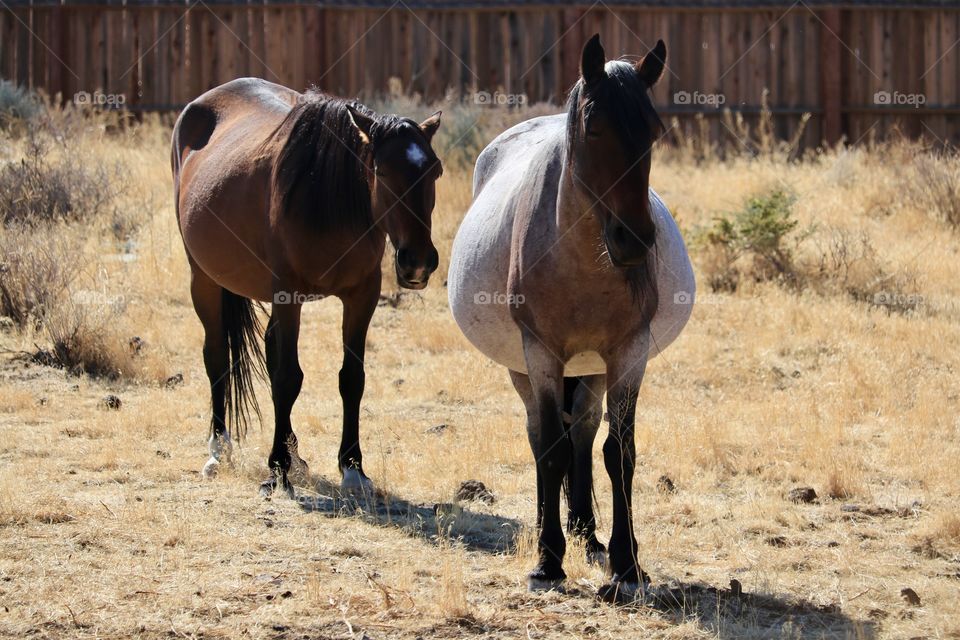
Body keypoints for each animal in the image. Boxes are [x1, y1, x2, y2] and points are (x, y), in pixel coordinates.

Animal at [172, 79, 442, 496]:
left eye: (435, 172)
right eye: (381, 171)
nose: (418, 262)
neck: (328, 200)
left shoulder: (362, 297)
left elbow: (351, 378)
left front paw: (352, 468)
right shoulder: (288, 296)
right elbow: (287, 377)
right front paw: (276, 470)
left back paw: (294, 454)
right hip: (203, 279)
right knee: (216, 356)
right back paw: (219, 450)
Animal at [446, 36, 692, 600]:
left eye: (653, 131)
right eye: (595, 126)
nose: (634, 241)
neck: (580, 258)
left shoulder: (628, 353)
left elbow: (618, 453)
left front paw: (627, 564)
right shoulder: (540, 353)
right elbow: (550, 449)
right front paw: (547, 561)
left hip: (593, 368)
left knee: (582, 429)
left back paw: (586, 531)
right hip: (523, 366)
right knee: (543, 436)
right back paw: (554, 531)